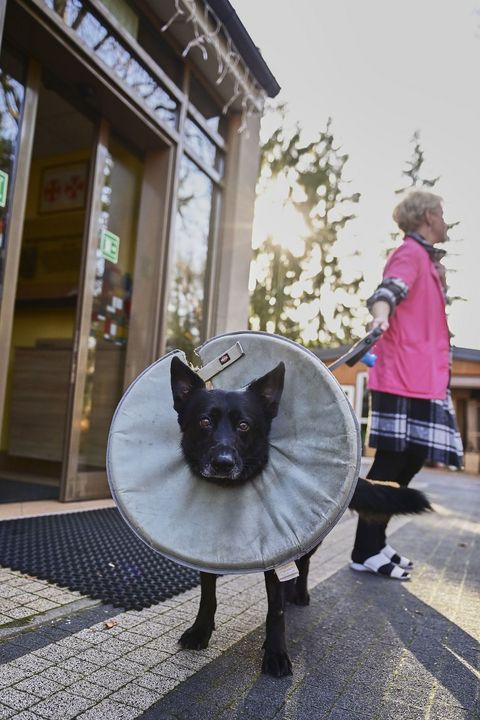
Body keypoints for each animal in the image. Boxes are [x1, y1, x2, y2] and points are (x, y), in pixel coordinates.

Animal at [170, 358, 432, 676]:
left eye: (244, 425)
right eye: (204, 422)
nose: (223, 463)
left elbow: (276, 610)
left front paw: (275, 653)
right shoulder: (204, 554)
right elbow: (208, 595)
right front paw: (201, 631)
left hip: (310, 542)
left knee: (303, 566)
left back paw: (300, 593)